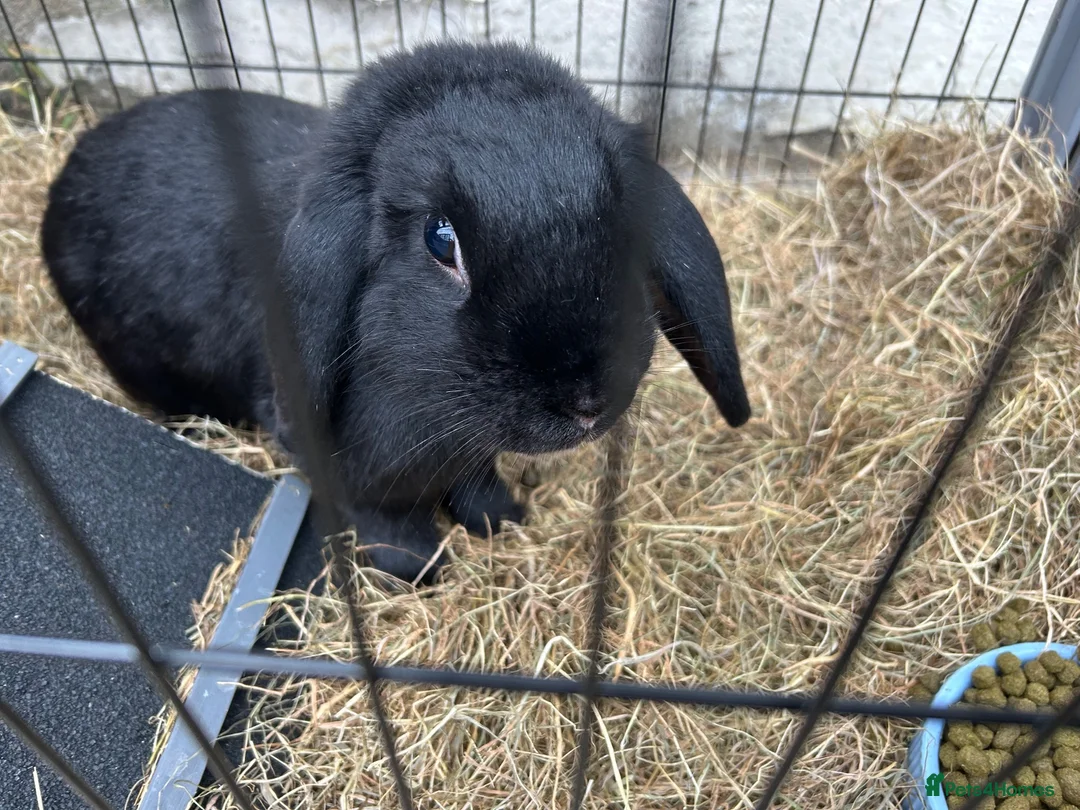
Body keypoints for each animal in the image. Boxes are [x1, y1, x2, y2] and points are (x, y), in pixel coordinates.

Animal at [40, 40, 751, 585]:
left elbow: (477, 485)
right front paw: (420, 567)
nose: (586, 403)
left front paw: (503, 520)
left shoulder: (469, 453)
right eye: (441, 240)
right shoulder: (351, 468)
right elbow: (380, 514)